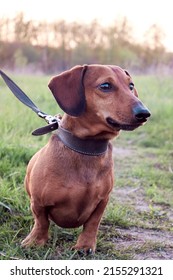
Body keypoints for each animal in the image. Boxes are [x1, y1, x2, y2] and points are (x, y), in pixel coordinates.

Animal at [21, 64, 151, 253]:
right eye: (105, 86)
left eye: (131, 86)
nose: (144, 113)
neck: (86, 149)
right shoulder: (38, 201)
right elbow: (41, 221)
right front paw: (35, 241)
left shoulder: (102, 201)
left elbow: (92, 223)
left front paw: (85, 245)